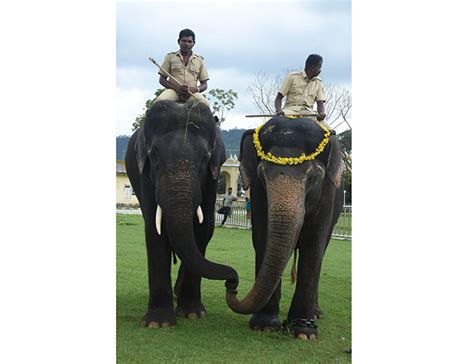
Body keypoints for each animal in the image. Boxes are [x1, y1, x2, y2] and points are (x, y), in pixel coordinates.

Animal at [125, 99, 239, 328]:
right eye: (154, 155)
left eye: (205, 158)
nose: (232, 285)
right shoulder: (144, 176)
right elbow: (154, 230)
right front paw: (158, 323)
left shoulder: (211, 179)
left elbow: (202, 229)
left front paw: (192, 314)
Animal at [227, 116, 344, 338]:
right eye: (262, 175)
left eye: (313, 178)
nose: (232, 285)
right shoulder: (257, 193)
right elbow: (262, 238)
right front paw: (264, 325)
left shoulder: (328, 194)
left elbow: (314, 245)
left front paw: (304, 332)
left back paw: (316, 314)